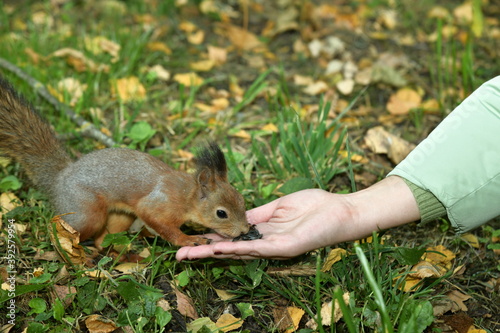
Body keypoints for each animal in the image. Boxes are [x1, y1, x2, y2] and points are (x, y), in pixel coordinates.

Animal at [0, 77, 250, 246]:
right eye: (221, 213)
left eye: (242, 200)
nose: (245, 230)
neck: (186, 196)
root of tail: (60, 177)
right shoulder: (158, 205)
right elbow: (160, 223)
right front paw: (187, 240)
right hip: (85, 210)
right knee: (62, 227)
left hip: (120, 216)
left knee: (104, 237)